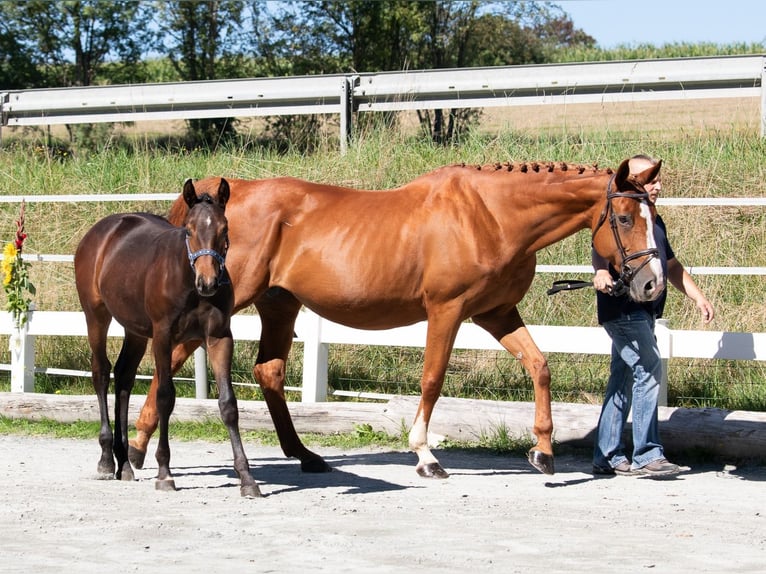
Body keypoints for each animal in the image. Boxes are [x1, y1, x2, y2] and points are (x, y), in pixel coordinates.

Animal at [75, 180, 260, 500]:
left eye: (224, 228)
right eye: (189, 229)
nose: (208, 282)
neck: (188, 281)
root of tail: (101, 230)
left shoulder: (220, 337)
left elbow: (228, 404)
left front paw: (246, 478)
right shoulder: (162, 337)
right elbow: (164, 397)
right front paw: (165, 472)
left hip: (135, 330)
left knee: (124, 377)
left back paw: (124, 463)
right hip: (96, 316)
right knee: (101, 373)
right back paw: (106, 460)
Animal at [127, 160, 664, 480]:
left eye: (654, 218)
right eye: (623, 219)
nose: (650, 286)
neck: (490, 215)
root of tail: (225, 196)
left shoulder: (496, 314)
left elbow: (540, 366)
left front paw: (544, 451)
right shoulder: (447, 311)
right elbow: (432, 380)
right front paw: (425, 456)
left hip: (280, 304)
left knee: (269, 371)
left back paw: (305, 455)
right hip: (225, 301)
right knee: (172, 357)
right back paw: (134, 447)